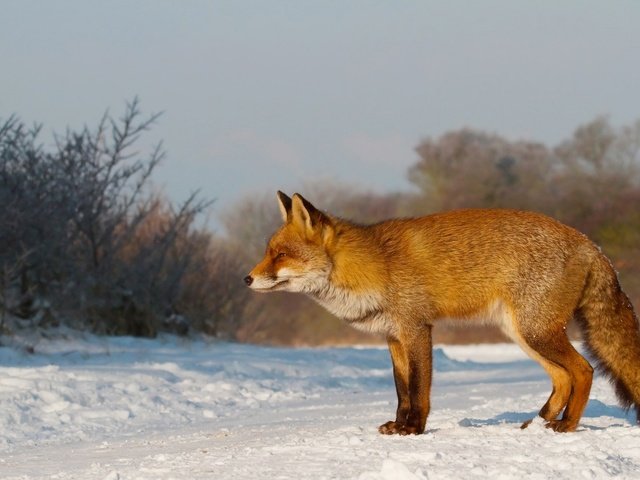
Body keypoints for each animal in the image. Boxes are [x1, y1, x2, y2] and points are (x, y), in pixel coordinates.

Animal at [244, 191, 640, 436]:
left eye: (280, 255)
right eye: (268, 252)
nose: (246, 278)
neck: (372, 267)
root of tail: (590, 243)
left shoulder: (417, 328)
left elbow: (419, 388)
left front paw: (413, 429)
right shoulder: (393, 337)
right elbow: (402, 389)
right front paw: (398, 426)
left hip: (536, 332)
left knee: (583, 371)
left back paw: (566, 425)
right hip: (523, 333)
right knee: (561, 377)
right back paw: (537, 423)